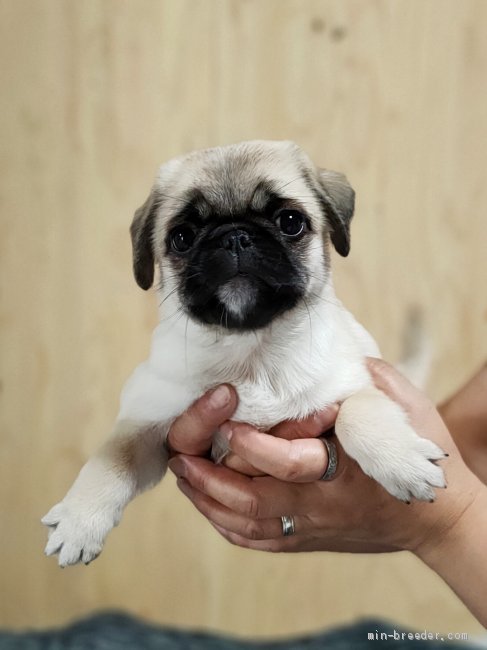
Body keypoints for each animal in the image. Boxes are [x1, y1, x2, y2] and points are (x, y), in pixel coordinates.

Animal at [42, 139, 446, 564]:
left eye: (290, 222)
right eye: (182, 237)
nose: (235, 236)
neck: (251, 350)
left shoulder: (356, 385)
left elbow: (360, 412)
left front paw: (401, 461)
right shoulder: (146, 422)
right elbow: (111, 459)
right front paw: (79, 520)